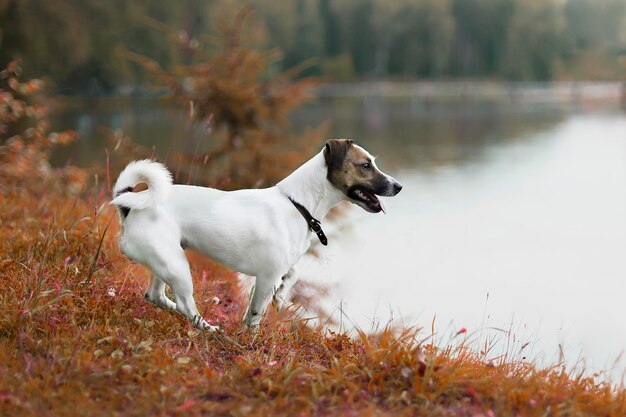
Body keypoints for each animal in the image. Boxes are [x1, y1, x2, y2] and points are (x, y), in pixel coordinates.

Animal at [109, 138, 402, 330]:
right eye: (365, 165)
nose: (398, 186)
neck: (297, 203)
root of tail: (129, 205)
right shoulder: (266, 275)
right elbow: (255, 314)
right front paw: (250, 340)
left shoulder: (279, 267)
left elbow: (292, 275)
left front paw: (281, 297)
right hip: (177, 267)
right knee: (185, 304)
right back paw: (208, 328)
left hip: (164, 262)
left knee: (155, 296)